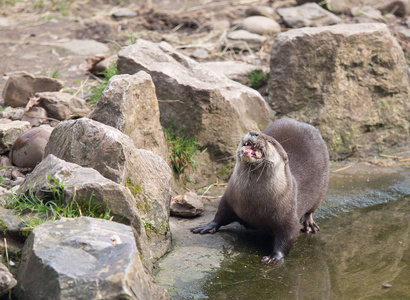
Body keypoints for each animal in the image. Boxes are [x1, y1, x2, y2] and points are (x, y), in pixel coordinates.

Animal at [192, 118, 330, 264]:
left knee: (311, 210)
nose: (253, 132)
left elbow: (288, 235)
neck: (253, 204)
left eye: (270, 141)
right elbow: (220, 214)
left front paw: (274, 257)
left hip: (322, 189)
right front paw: (207, 226)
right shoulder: (229, 198)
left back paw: (310, 225)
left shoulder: (289, 215)